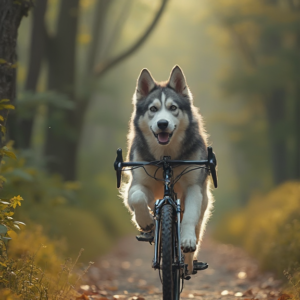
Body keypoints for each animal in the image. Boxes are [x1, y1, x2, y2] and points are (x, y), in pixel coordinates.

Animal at [122, 65, 213, 274]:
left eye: (173, 108)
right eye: (153, 109)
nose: (162, 123)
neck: (166, 156)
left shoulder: (194, 188)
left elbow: (189, 217)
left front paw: (187, 240)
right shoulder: (138, 184)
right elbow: (137, 198)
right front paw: (145, 221)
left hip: (204, 203)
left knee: (196, 223)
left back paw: (188, 263)